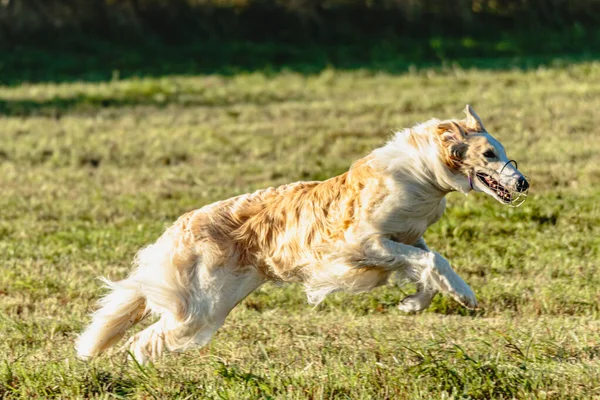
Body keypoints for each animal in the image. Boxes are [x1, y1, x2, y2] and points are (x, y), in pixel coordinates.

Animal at [76, 104, 528, 364]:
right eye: (489, 154)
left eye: (503, 151)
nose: (523, 182)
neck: (421, 173)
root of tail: (179, 228)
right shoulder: (362, 243)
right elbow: (433, 261)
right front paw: (465, 296)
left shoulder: (407, 239)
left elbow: (429, 269)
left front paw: (413, 304)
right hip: (203, 307)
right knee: (144, 341)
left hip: (214, 302)